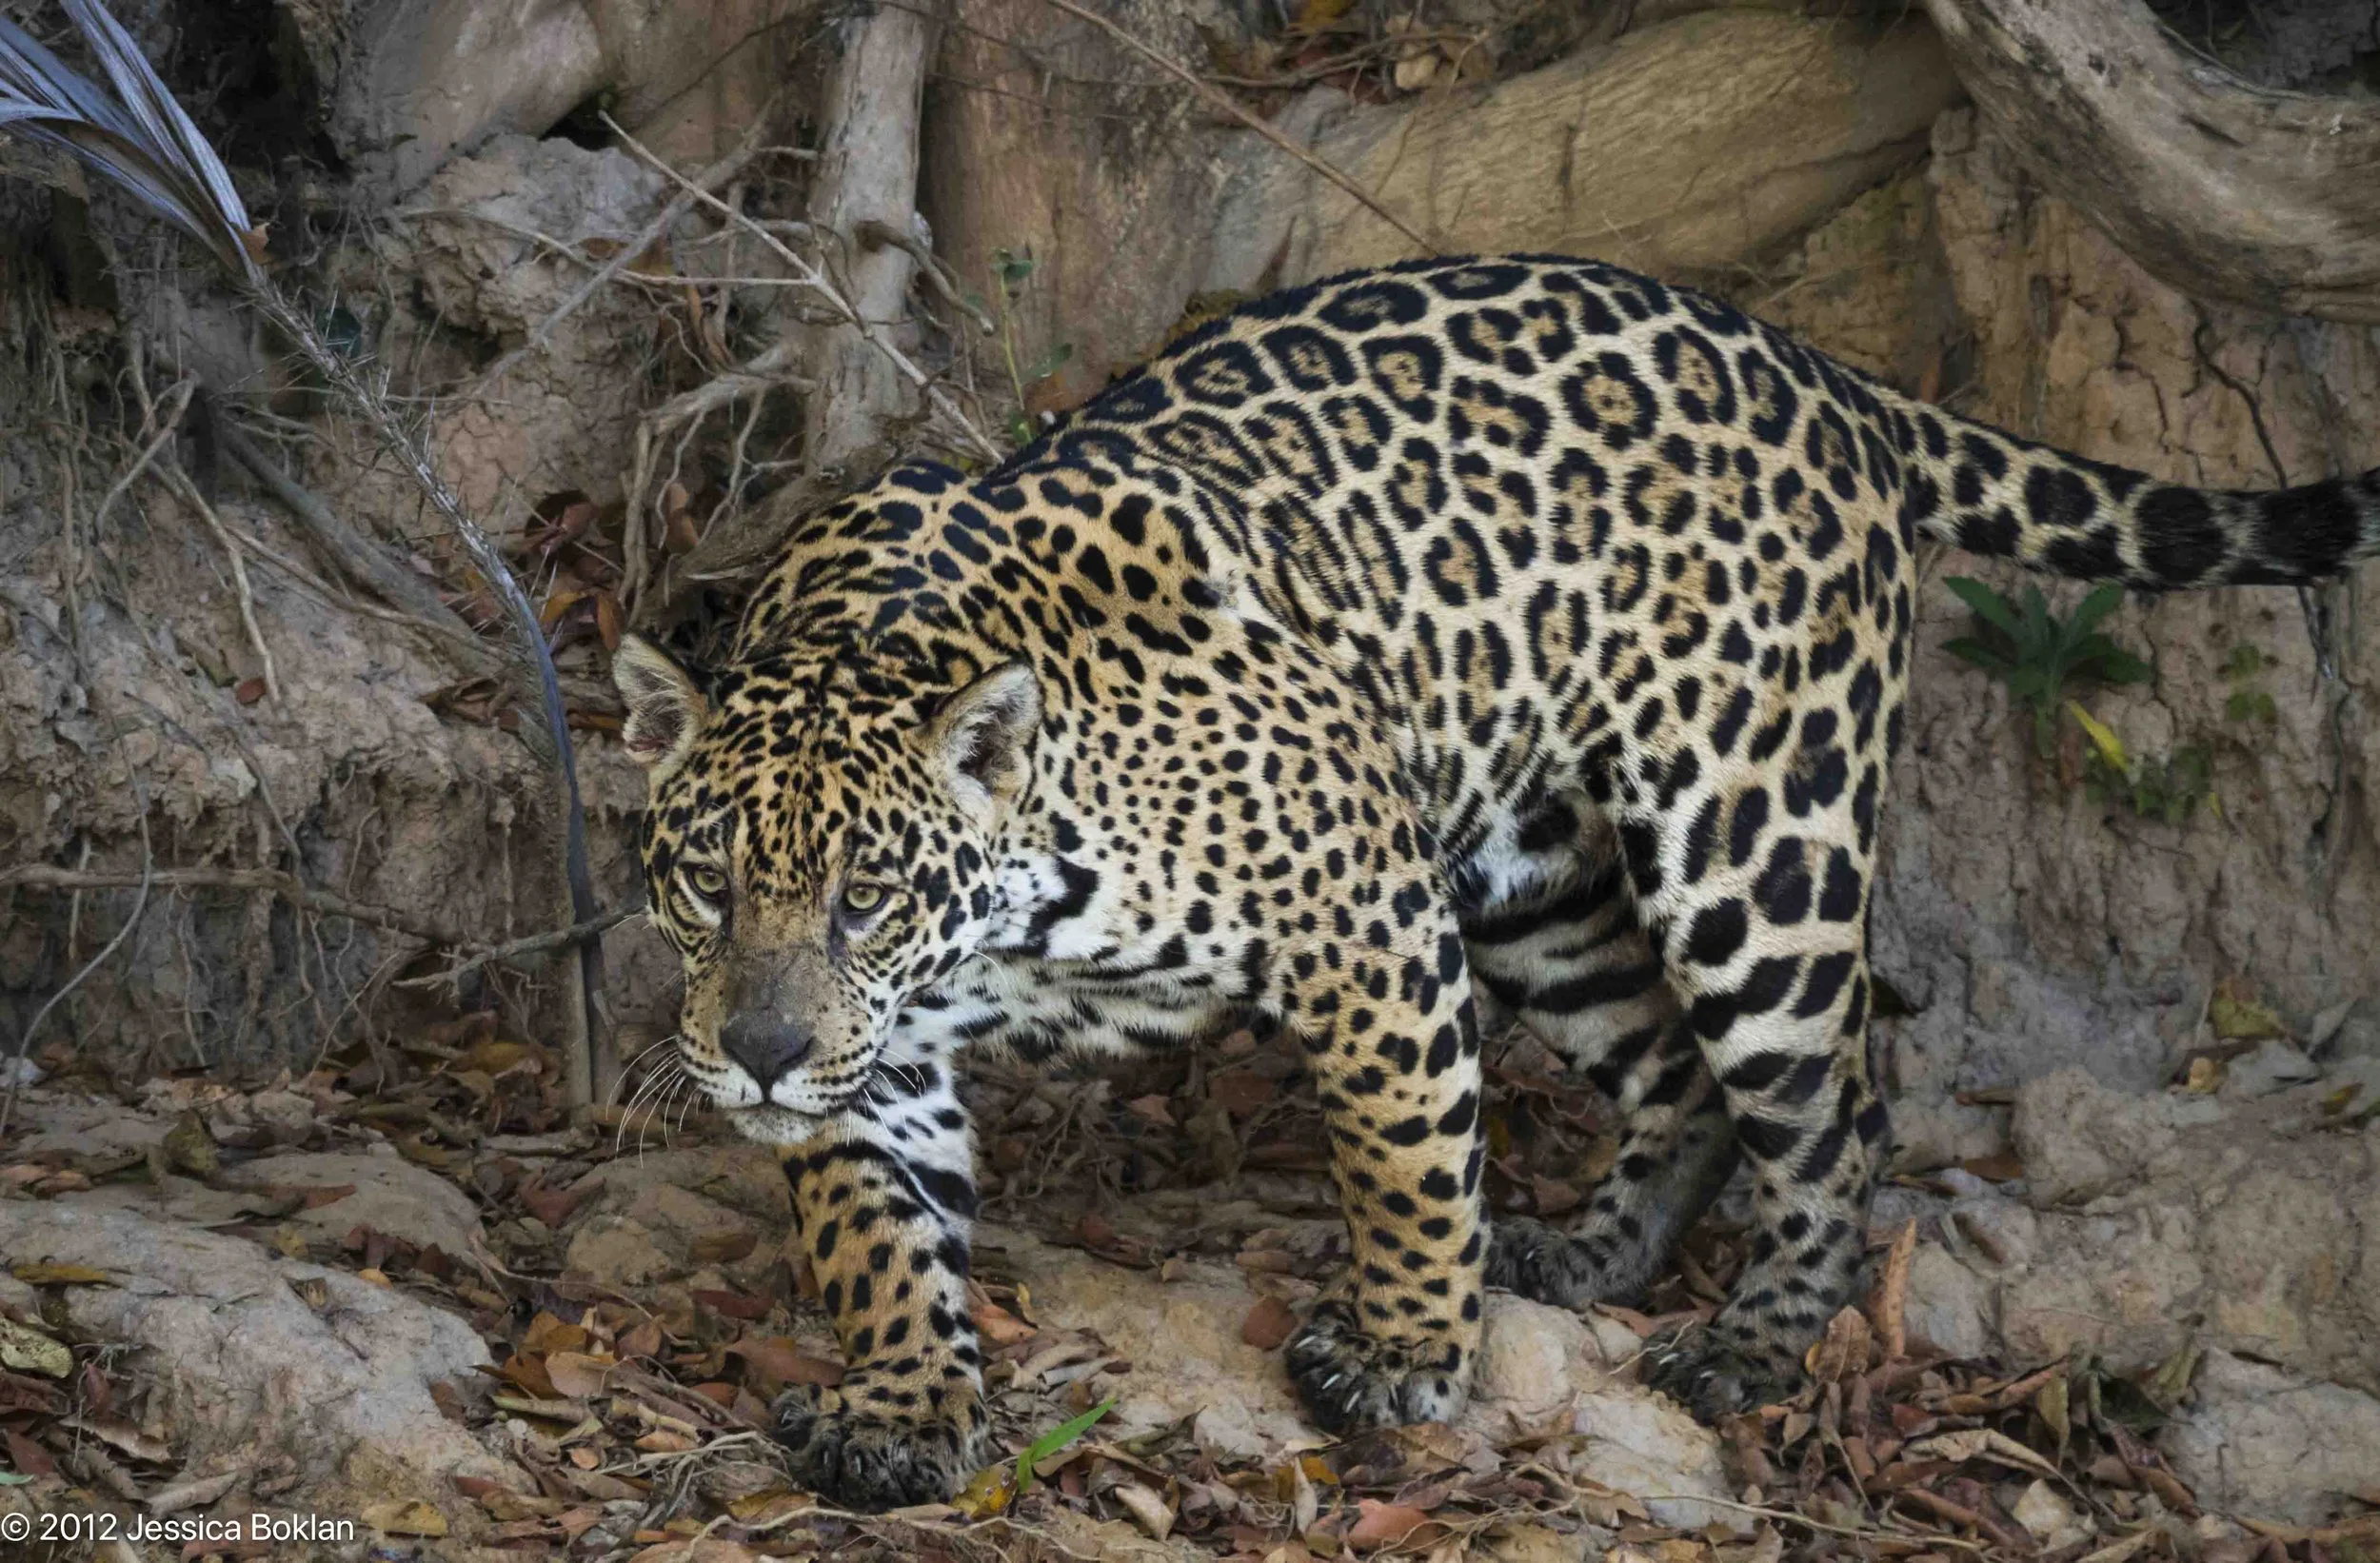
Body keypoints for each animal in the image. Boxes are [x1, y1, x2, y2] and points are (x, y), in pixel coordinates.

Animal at [611, 253, 2380, 1511]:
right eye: (705, 879)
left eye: (868, 893)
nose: (754, 1054)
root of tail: (1832, 377)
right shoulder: (883, 1055)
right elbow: (872, 1225)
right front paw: (903, 1400)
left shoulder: (1366, 924)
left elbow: (1405, 1160)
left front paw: (1401, 1352)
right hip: (1536, 888)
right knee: (1672, 1074)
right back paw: (1591, 1257)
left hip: (1753, 844)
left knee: (1831, 1107)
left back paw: (1752, 1339)